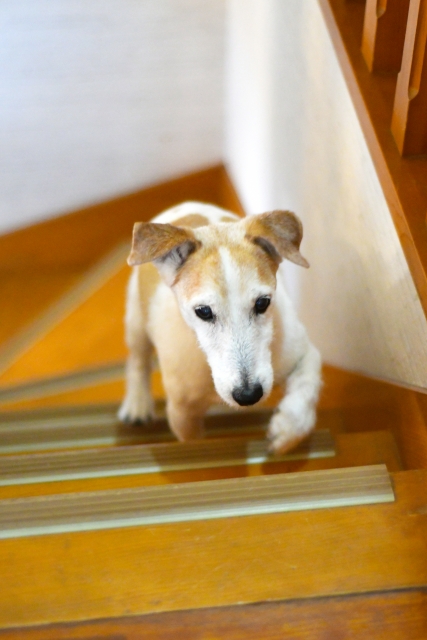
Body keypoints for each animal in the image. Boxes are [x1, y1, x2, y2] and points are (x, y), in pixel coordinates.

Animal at [118, 202, 320, 452]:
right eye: (203, 311)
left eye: (262, 303)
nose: (248, 395)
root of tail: (183, 205)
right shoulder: (181, 413)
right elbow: (193, 441)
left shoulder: (303, 353)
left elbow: (306, 386)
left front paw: (288, 429)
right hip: (136, 320)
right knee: (138, 360)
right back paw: (137, 403)